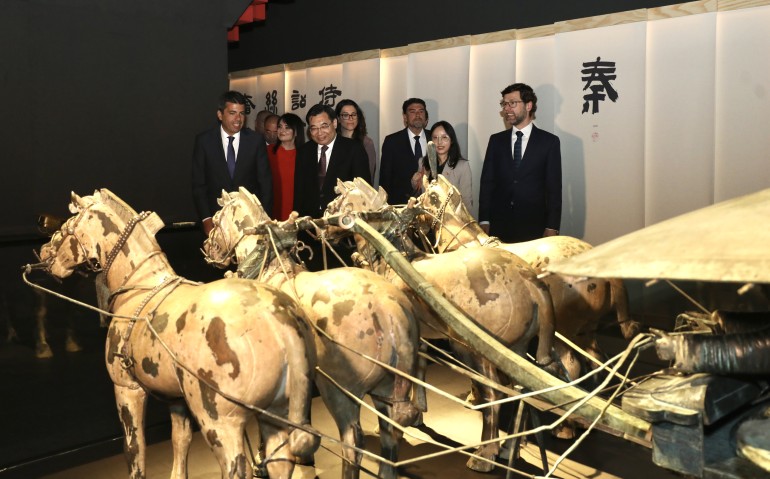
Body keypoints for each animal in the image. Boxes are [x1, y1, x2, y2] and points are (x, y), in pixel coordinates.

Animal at [36, 189, 319, 479]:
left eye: (68, 225)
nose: (45, 252)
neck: (140, 286)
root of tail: (281, 322)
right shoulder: (176, 398)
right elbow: (180, 441)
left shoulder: (127, 389)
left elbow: (134, 448)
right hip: (276, 413)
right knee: (280, 462)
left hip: (220, 422)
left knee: (235, 467)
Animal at [203, 188, 419, 479]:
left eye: (216, 219)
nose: (208, 248)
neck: (273, 270)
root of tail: (392, 310)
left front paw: (262, 459)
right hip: (387, 387)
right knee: (391, 435)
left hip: (339, 390)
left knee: (352, 442)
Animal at [324, 178, 558, 472]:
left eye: (338, 202)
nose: (323, 219)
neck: (395, 258)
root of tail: (530, 280)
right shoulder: (421, 338)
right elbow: (420, 368)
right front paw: (417, 414)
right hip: (517, 348)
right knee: (519, 393)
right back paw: (509, 450)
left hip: (474, 350)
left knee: (494, 393)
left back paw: (485, 454)